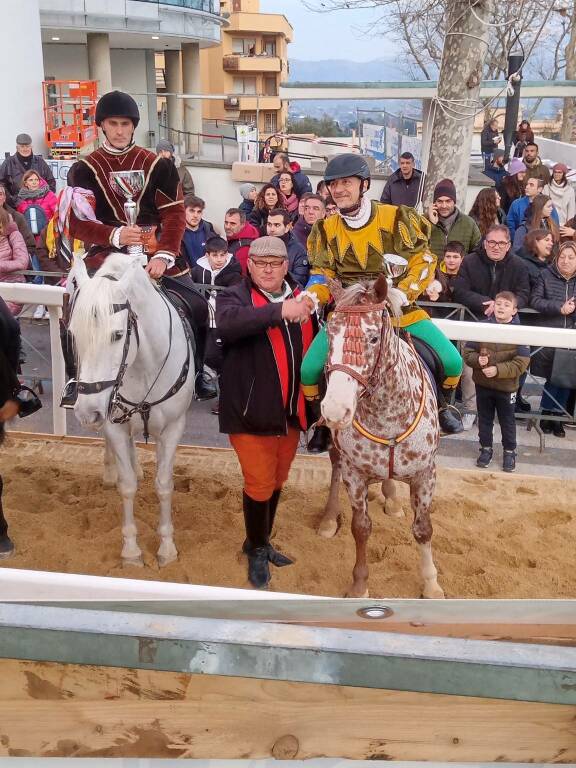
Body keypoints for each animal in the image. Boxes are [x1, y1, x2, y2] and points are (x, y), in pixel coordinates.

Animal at [68, 255, 195, 568]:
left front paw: (167, 548)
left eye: (117, 334)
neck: (141, 365)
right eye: (74, 334)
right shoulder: (113, 423)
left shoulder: (173, 428)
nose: (86, 413)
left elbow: (164, 485)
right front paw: (131, 551)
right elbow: (126, 486)